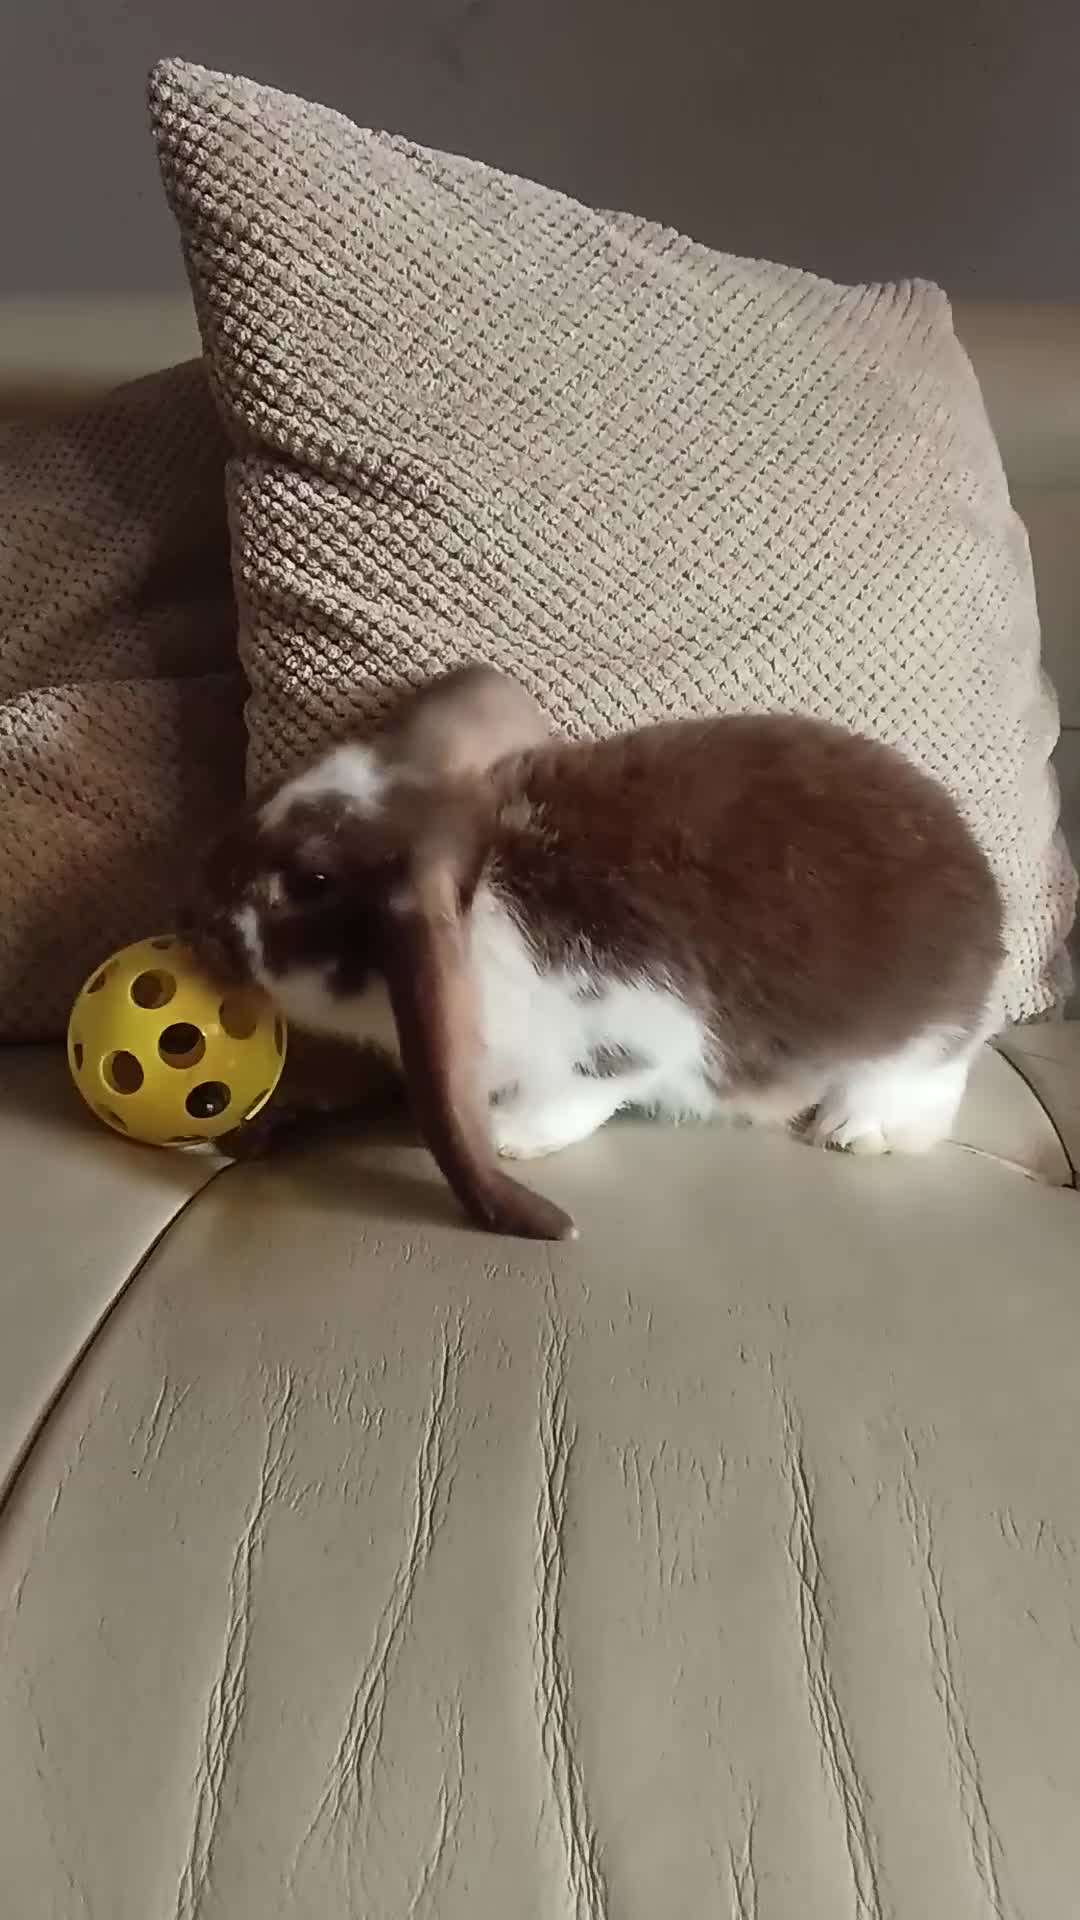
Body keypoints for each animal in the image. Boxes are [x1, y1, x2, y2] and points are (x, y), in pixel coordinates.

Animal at [188, 669, 1005, 1242]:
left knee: (929, 1081)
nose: (202, 922)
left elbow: (585, 1087)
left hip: (920, 1040)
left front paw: (510, 1136)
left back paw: (856, 1131)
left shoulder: (634, 1026)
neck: (477, 889)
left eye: (313, 882)